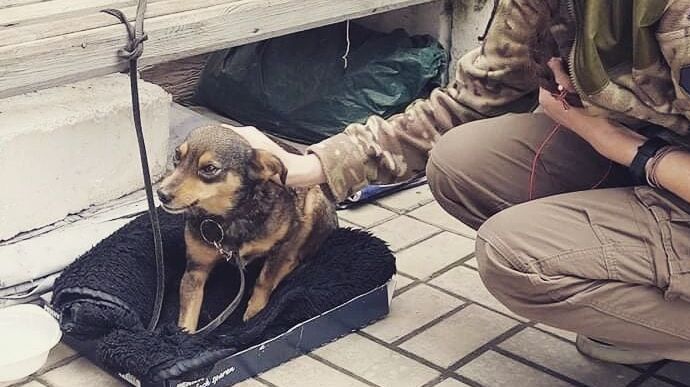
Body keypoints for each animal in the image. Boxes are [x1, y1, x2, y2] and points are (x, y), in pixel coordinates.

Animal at [157, 125, 338, 334]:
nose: (161, 194)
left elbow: (265, 280)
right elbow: (187, 317)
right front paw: (184, 336)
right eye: (177, 156)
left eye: (209, 168)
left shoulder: (283, 244)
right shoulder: (196, 269)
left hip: (314, 203)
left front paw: (255, 314)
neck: (229, 218)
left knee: (296, 258)